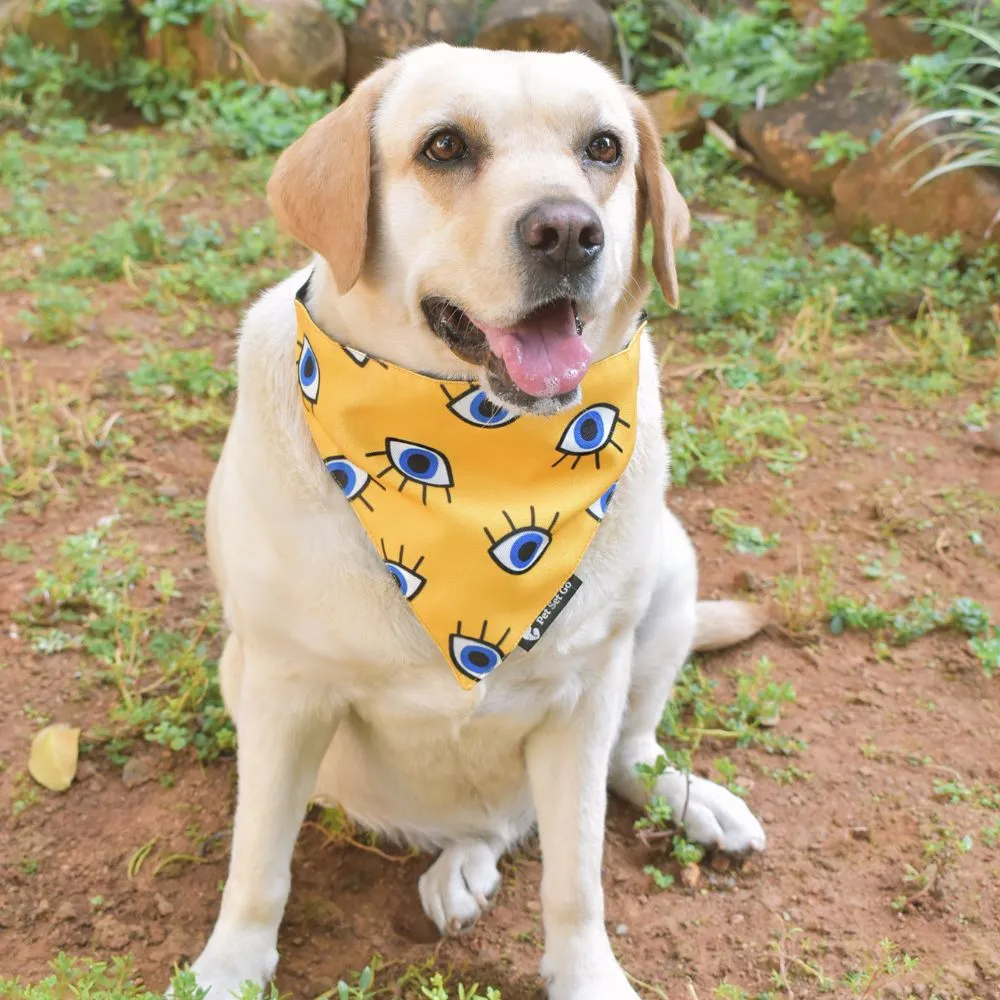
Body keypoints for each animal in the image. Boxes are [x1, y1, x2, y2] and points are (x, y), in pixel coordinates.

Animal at [186, 43, 764, 996]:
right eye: (446, 146)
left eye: (604, 148)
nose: (568, 232)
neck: (475, 450)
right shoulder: (284, 691)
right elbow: (257, 862)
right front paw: (229, 966)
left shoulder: (582, 698)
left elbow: (577, 878)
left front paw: (587, 974)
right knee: (488, 825)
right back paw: (465, 863)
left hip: (668, 578)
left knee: (626, 755)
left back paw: (691, 801)